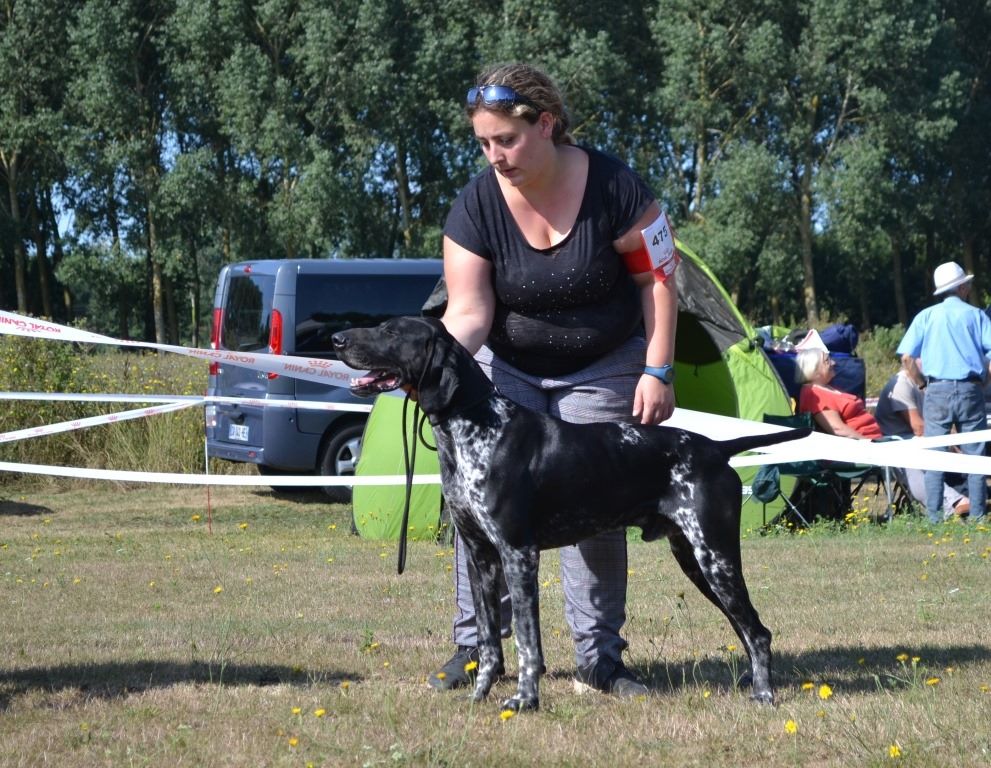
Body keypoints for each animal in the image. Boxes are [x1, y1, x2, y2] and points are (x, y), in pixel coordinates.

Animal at [330, 316, 808, 712]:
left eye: (392, 331)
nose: (337, 338)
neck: (478, 425)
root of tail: (715, 447)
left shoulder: (519, 555)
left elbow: (527, 642)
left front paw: (524, 701)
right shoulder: (481, 558)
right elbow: (488, 641)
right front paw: (480, 696)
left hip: (715, 557)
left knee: (757, 631)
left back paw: (764, 696)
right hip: (695, 559)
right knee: (746, 629)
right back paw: (751, 685)